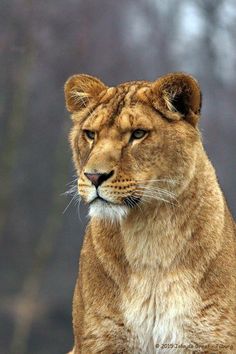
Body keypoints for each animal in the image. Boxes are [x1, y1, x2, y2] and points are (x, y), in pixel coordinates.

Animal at [63, 72, 235, 354]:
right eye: (90, 134)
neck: (148, 231)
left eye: (138, 134)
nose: (94, 176)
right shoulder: (100, 340)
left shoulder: (212, 340)